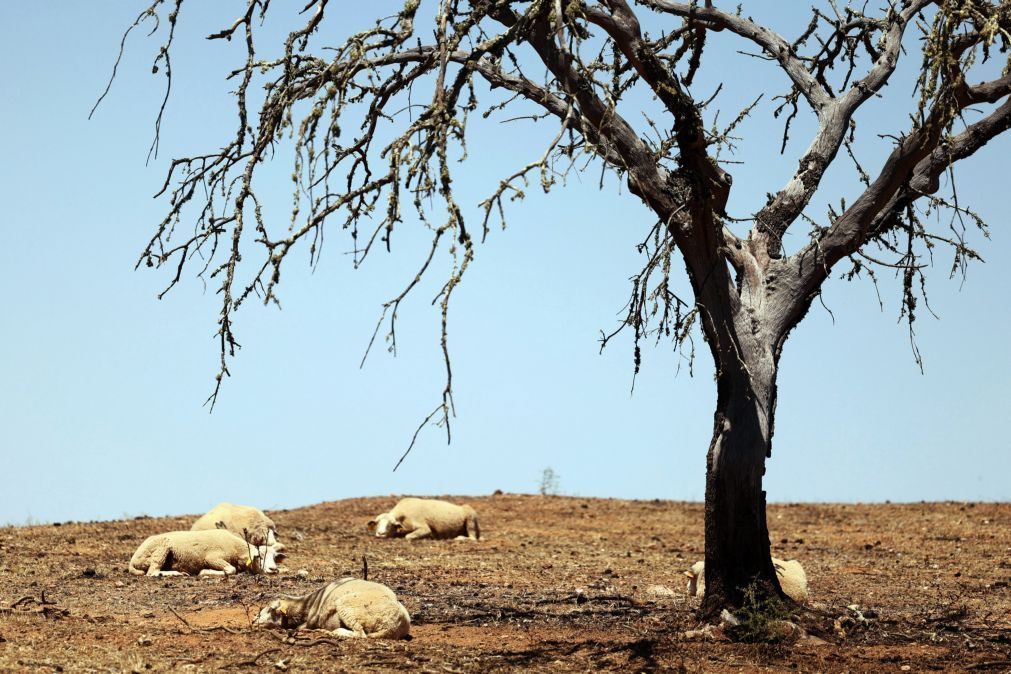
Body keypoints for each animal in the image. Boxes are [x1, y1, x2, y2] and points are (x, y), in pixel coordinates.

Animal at [131, 529, 281, 578]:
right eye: (259, 556)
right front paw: (204, 572)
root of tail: (133, 560)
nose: (274, 569)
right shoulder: (212, 558)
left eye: (274, 557)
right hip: (161, 548)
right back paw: (176, 573)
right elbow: (231, 570)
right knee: (152, 572)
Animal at [254, 578, 408, 642]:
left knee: (360, 634)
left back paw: (330, 632)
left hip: (346, 605)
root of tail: (394, 625)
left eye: (271, 609)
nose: (254, 621)